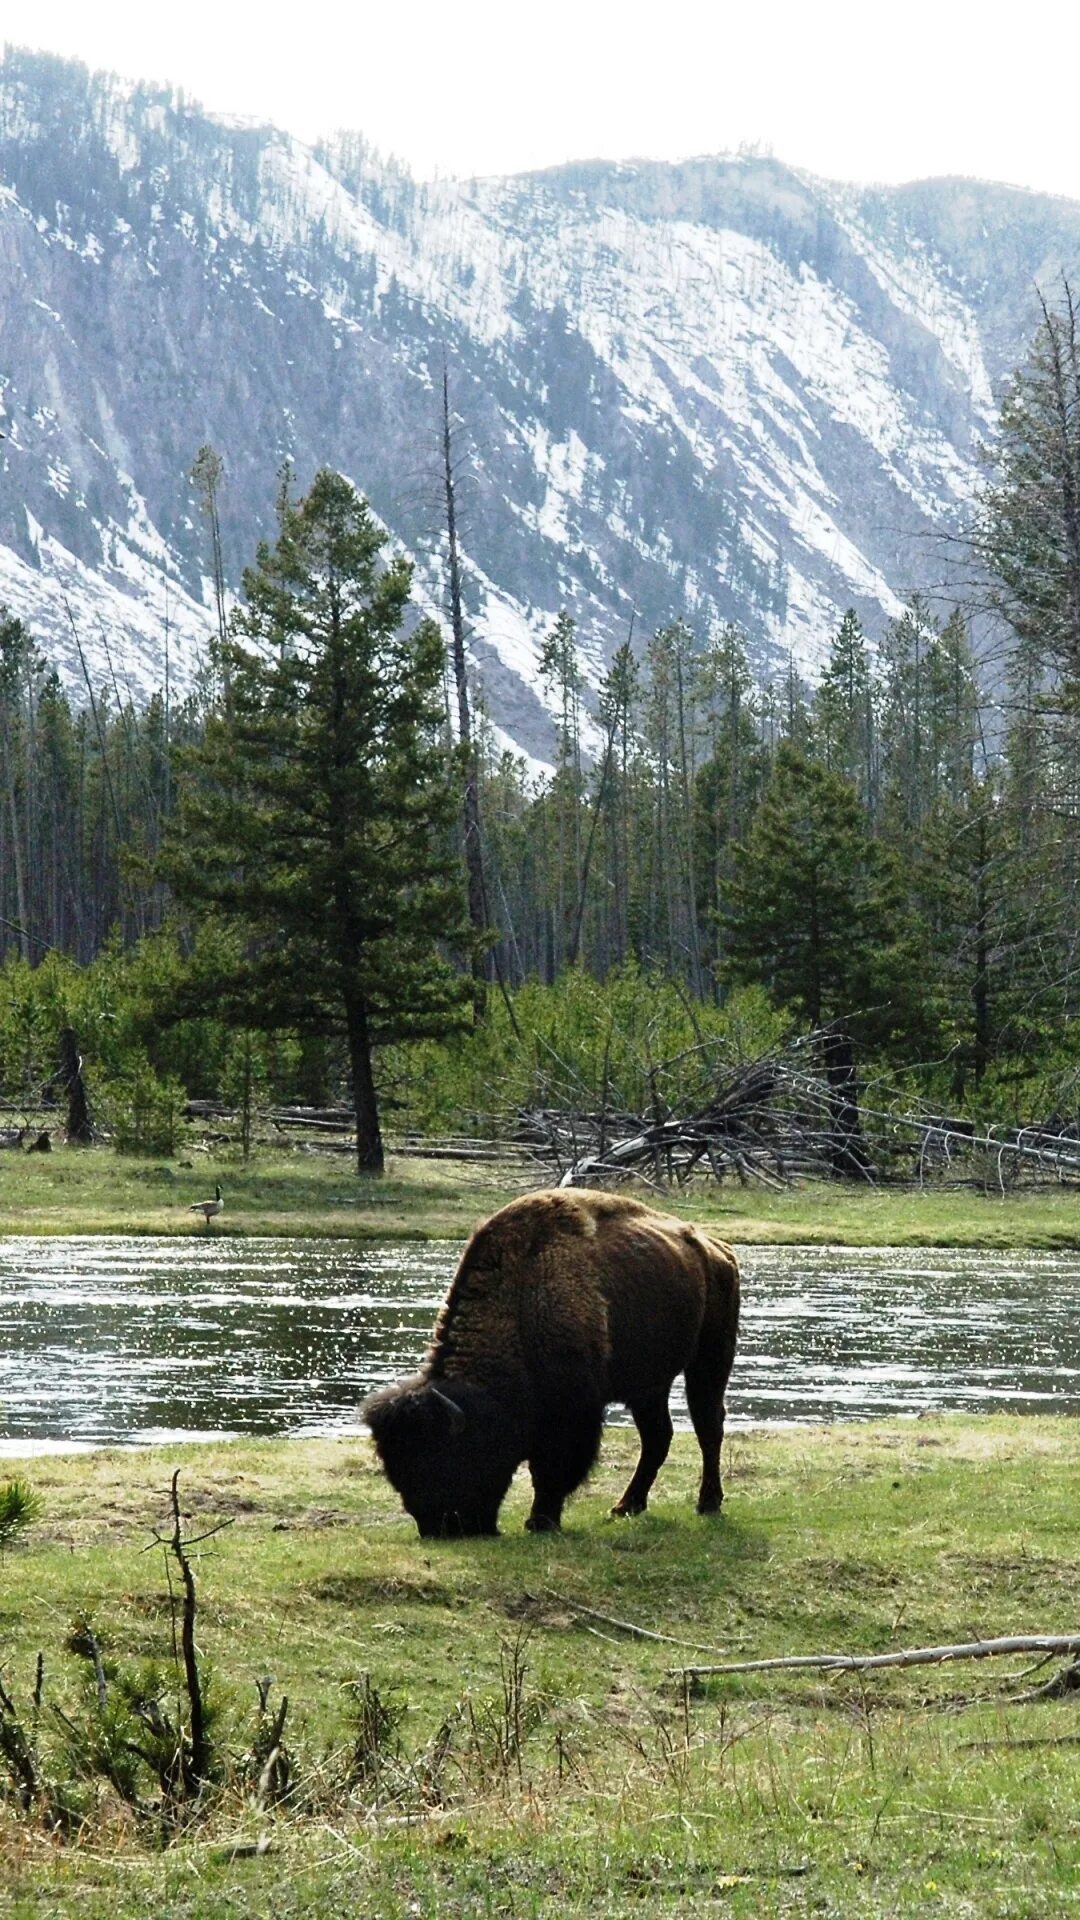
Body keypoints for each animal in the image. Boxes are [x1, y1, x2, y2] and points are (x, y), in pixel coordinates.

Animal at [363, 1190, 737, 1536]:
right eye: (396, 1471)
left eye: (444, 1459)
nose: (441, 1528)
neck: (519, 1304)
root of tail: (719, 1250)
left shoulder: (572, 1413)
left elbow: (551, 1470)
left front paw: (540, 1521)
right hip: (649, 1386)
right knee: (658, 1436)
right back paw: (626, 1506)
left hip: (709, 1361)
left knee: (708, 1426)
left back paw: (707, 1503)